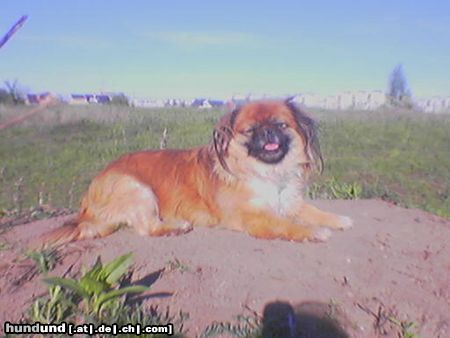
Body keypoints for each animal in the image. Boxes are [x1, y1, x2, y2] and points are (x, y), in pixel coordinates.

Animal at [39, 99, 352, 247]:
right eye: (250, 131)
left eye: (281, 125)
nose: (267, 132)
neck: (268, 174)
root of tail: (87, 205)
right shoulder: (253, 216)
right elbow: (285, 224)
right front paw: (313, 232)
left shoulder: (289, 202)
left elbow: (312, 211)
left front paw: (338, 219)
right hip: (137, 188)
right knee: (147, 228)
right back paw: (175, 226)